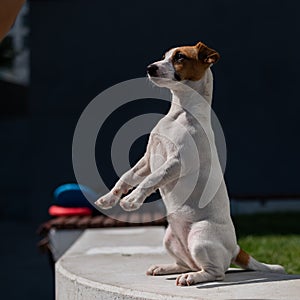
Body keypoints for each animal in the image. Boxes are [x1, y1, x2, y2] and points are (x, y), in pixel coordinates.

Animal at [95, 41, 284, 286]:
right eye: (164, 55)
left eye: (180, 57)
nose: (150, 68)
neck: (179, 113)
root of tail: (235, 248)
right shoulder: (147, 160)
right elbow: (127, 177)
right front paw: (109, 199)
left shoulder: (176, 163)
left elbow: (151, 180)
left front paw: (131, 200)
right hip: (169, 239)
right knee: (186, 262)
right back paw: (165, 268)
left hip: (200, 239)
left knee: (216, 272)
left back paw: (192, 278)